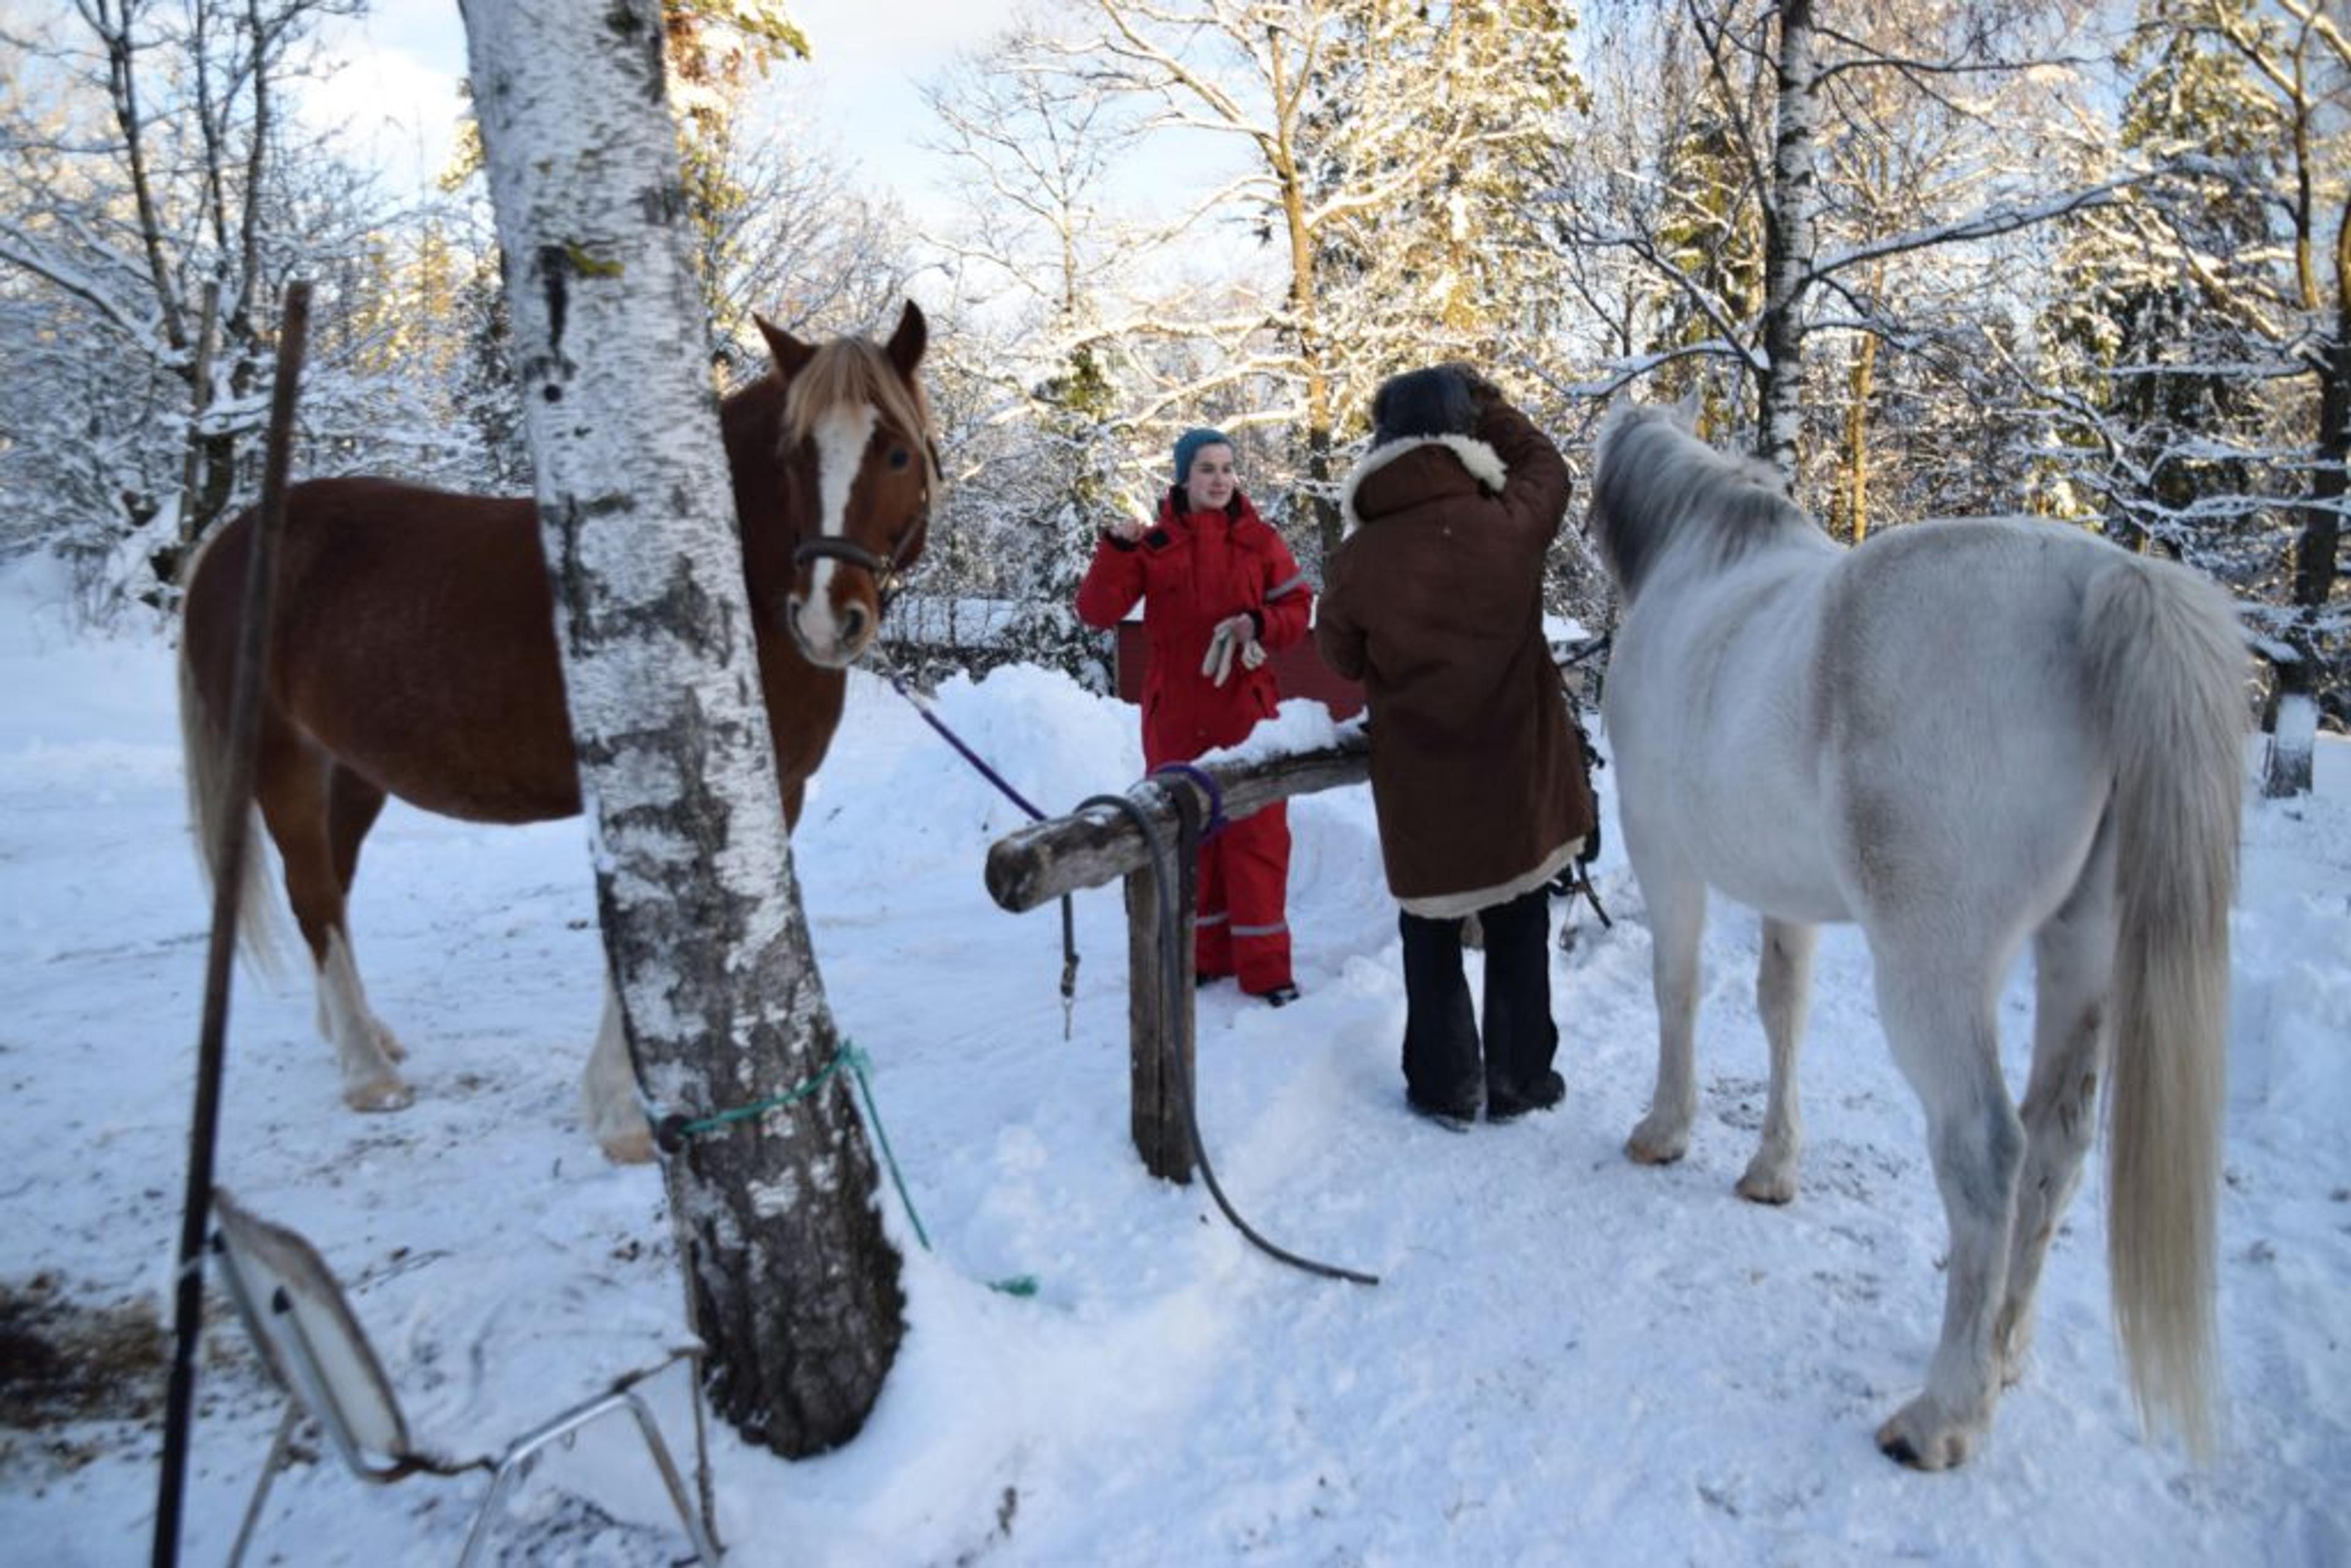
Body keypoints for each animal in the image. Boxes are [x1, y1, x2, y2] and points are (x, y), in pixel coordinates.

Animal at [178, 303, 938, 1165]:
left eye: (897, 452)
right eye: (792, 456)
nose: (823, 618)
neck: (726, 580)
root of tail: (229, 542)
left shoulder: (778, 789)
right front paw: (624, 1115)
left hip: (353, 771)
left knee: (330, 888)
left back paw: (356, 1032)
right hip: (283, 761)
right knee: (312, 893)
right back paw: (369, 1074)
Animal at [1587, 402, 2244, 1469]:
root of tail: (2101, 585)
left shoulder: (1664, 854)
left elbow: (1676, 990)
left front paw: (1665, 1130)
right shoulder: (1790, 898)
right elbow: (1783, 1012)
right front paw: (1772, 1171)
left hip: (1933, 971)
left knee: (1987, 1149)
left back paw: (1943, 1414)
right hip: (2082, 955)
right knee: (2057, 1148)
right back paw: (2003, 1355)